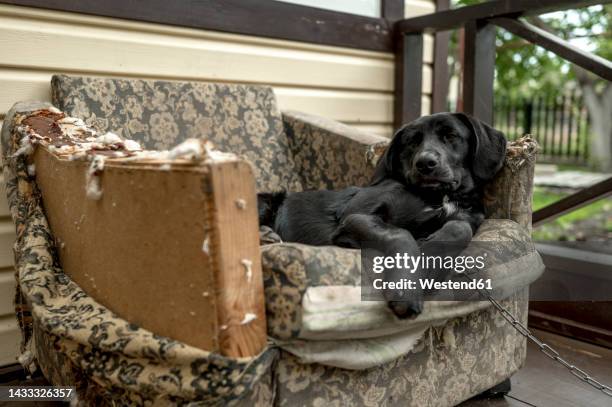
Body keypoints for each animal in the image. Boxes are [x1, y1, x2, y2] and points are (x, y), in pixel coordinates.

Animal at [258, 113, 506, 320]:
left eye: (451, 135)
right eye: (412, 141)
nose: (425, 163)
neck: (435, 195)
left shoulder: (466, 217)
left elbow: (459, 229)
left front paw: (429, 262)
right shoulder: (354, 215)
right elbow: (400, 234)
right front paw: (406, 288)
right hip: (265, 199)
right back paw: (265, 236)